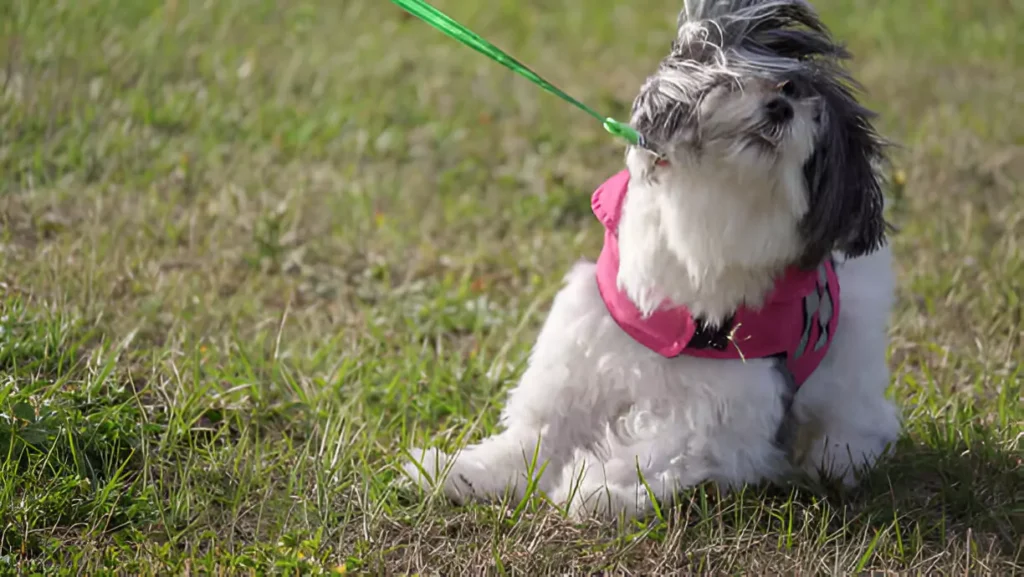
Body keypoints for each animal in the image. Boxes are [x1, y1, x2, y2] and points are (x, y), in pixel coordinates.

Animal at [403, 0, 901, 520]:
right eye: (780, 86)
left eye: (813, 118)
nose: (782, 107)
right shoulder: (579, 358)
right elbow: (534, 437)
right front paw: (459, 472)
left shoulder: (722, 409)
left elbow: (658, 451)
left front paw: (597, 489)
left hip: (849, 360)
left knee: (864, 417)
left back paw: (837, 459)